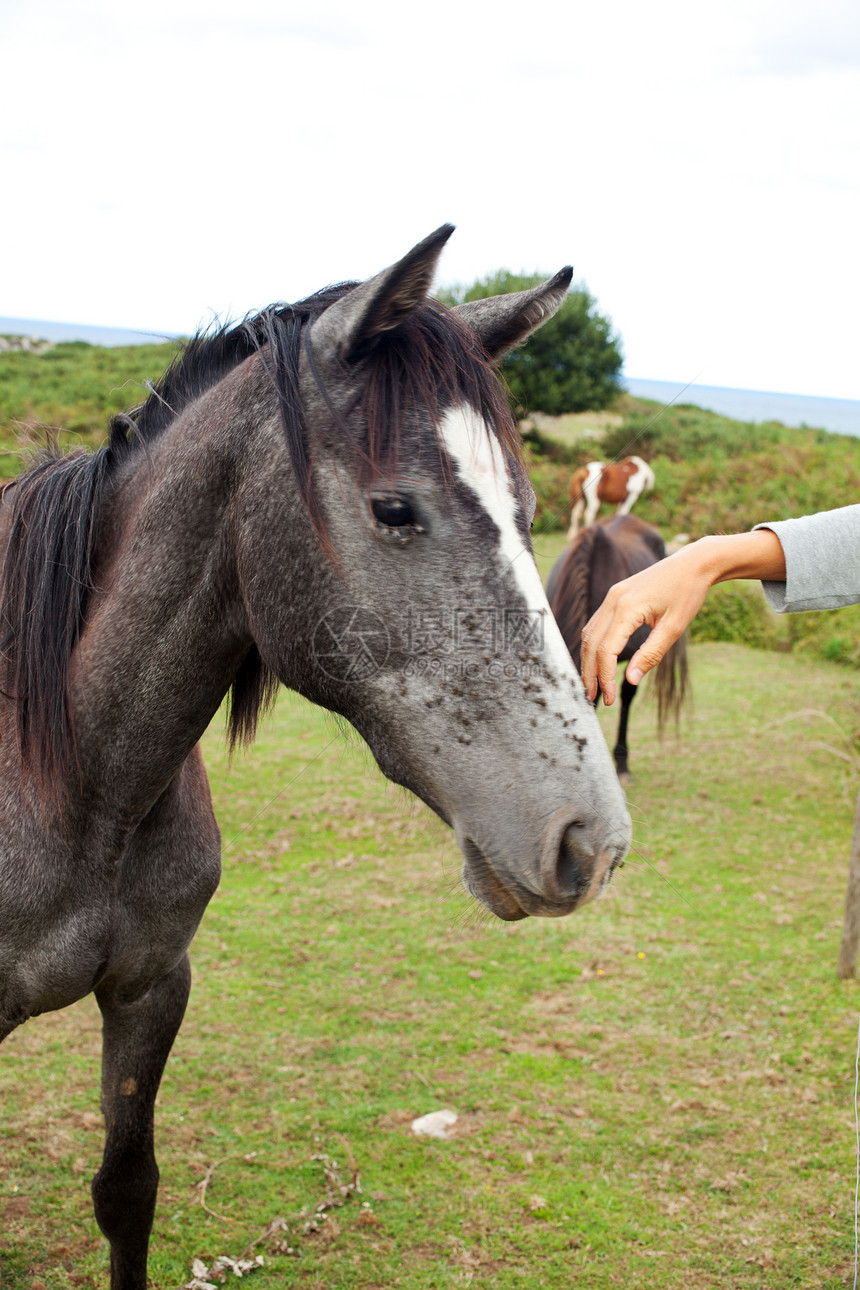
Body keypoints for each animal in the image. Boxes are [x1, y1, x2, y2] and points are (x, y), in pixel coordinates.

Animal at [0, 227, 631, 1284]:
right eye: (395, 509)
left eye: (530, 507)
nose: (591, 837)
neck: (81, 784)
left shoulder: (150, 989)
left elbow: (127, 1193)